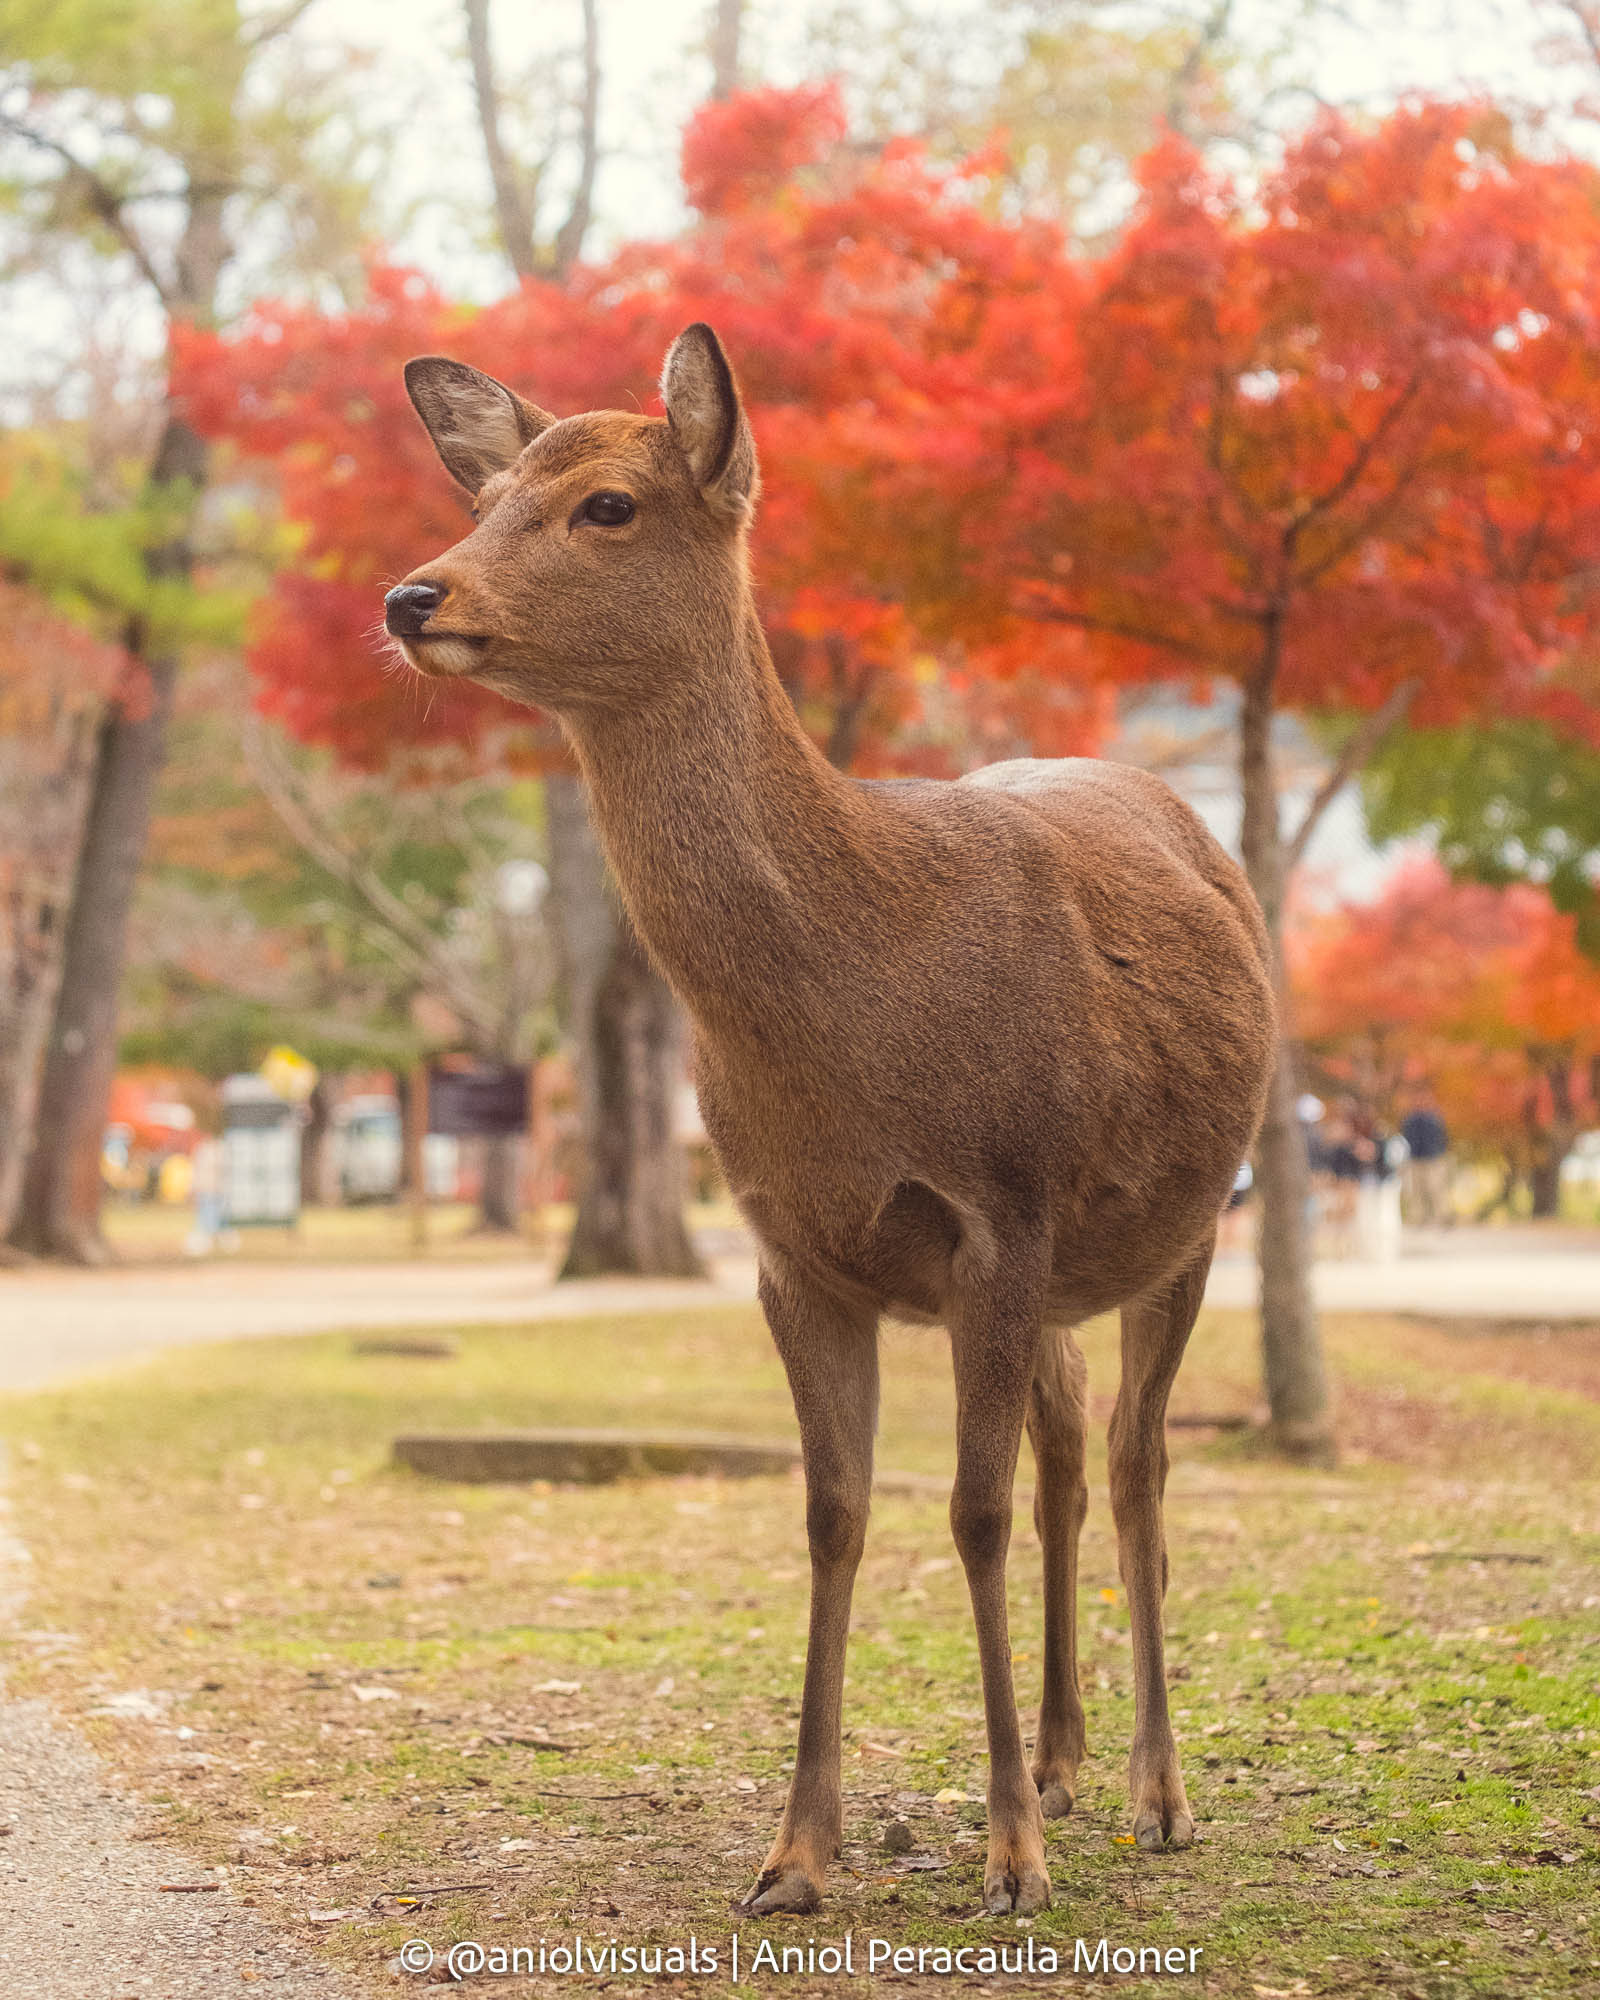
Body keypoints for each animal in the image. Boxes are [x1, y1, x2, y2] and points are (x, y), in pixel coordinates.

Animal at [383, 324, 1277, 1918]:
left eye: (607, 503)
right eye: (486, 496)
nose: (413, 595)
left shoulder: (999, 1201)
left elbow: (968, 1511)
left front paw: (1010, 1856)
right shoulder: (789, 1247)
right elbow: (833, 1512)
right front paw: (797, 1851)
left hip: (1184, 1217)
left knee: (1134, 1461)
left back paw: (1151, 1793)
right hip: (1066, 1264)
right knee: (1065, 1446)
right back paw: (1064, 1757)